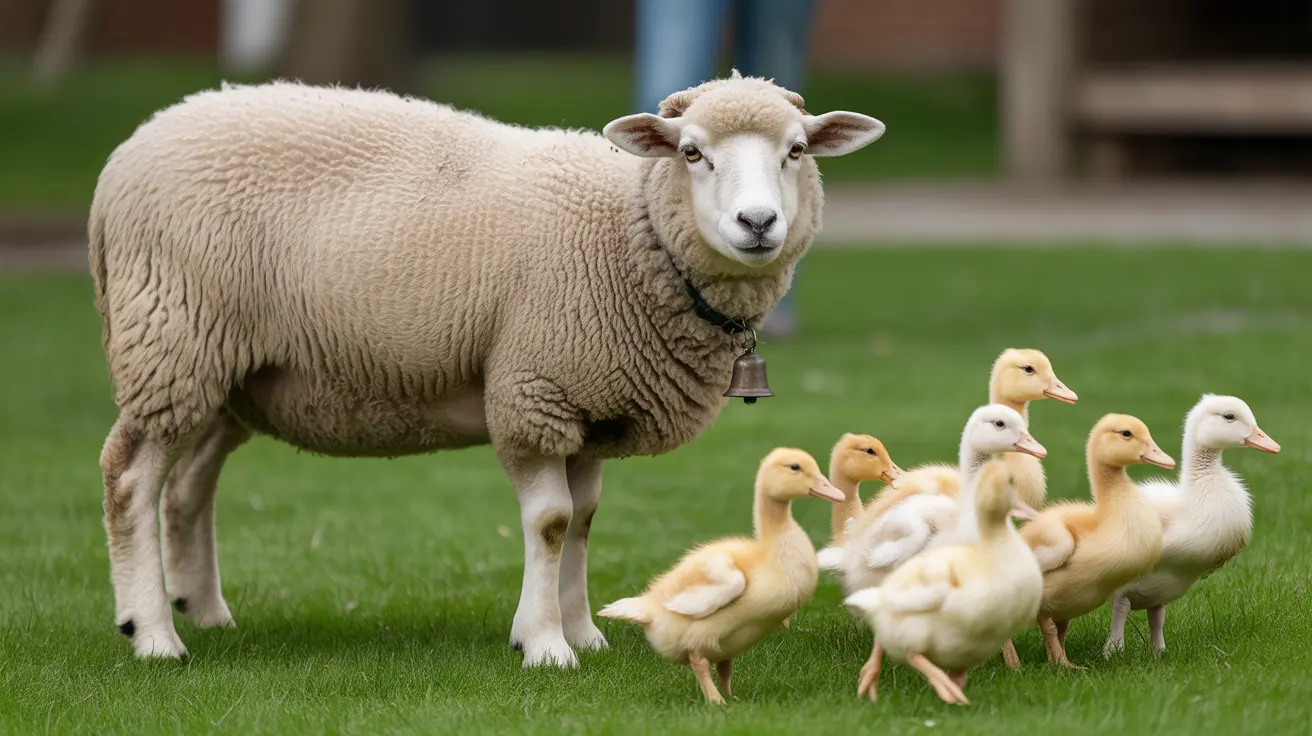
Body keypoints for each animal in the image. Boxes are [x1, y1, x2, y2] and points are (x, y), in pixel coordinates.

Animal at [89, 71, 884, 668]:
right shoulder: (535, 389)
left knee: (188, 486)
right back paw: (152, 634)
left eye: (796, 150)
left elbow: (585, 519)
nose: (758, 224)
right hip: (173, 339)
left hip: (230, 374)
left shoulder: (592, 405)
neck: (631, 232)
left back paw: (205, 611)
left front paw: (584, 632)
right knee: (130, 477)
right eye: (691, 153)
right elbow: (552, 522)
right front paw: (543, 644)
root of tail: (125, 157)